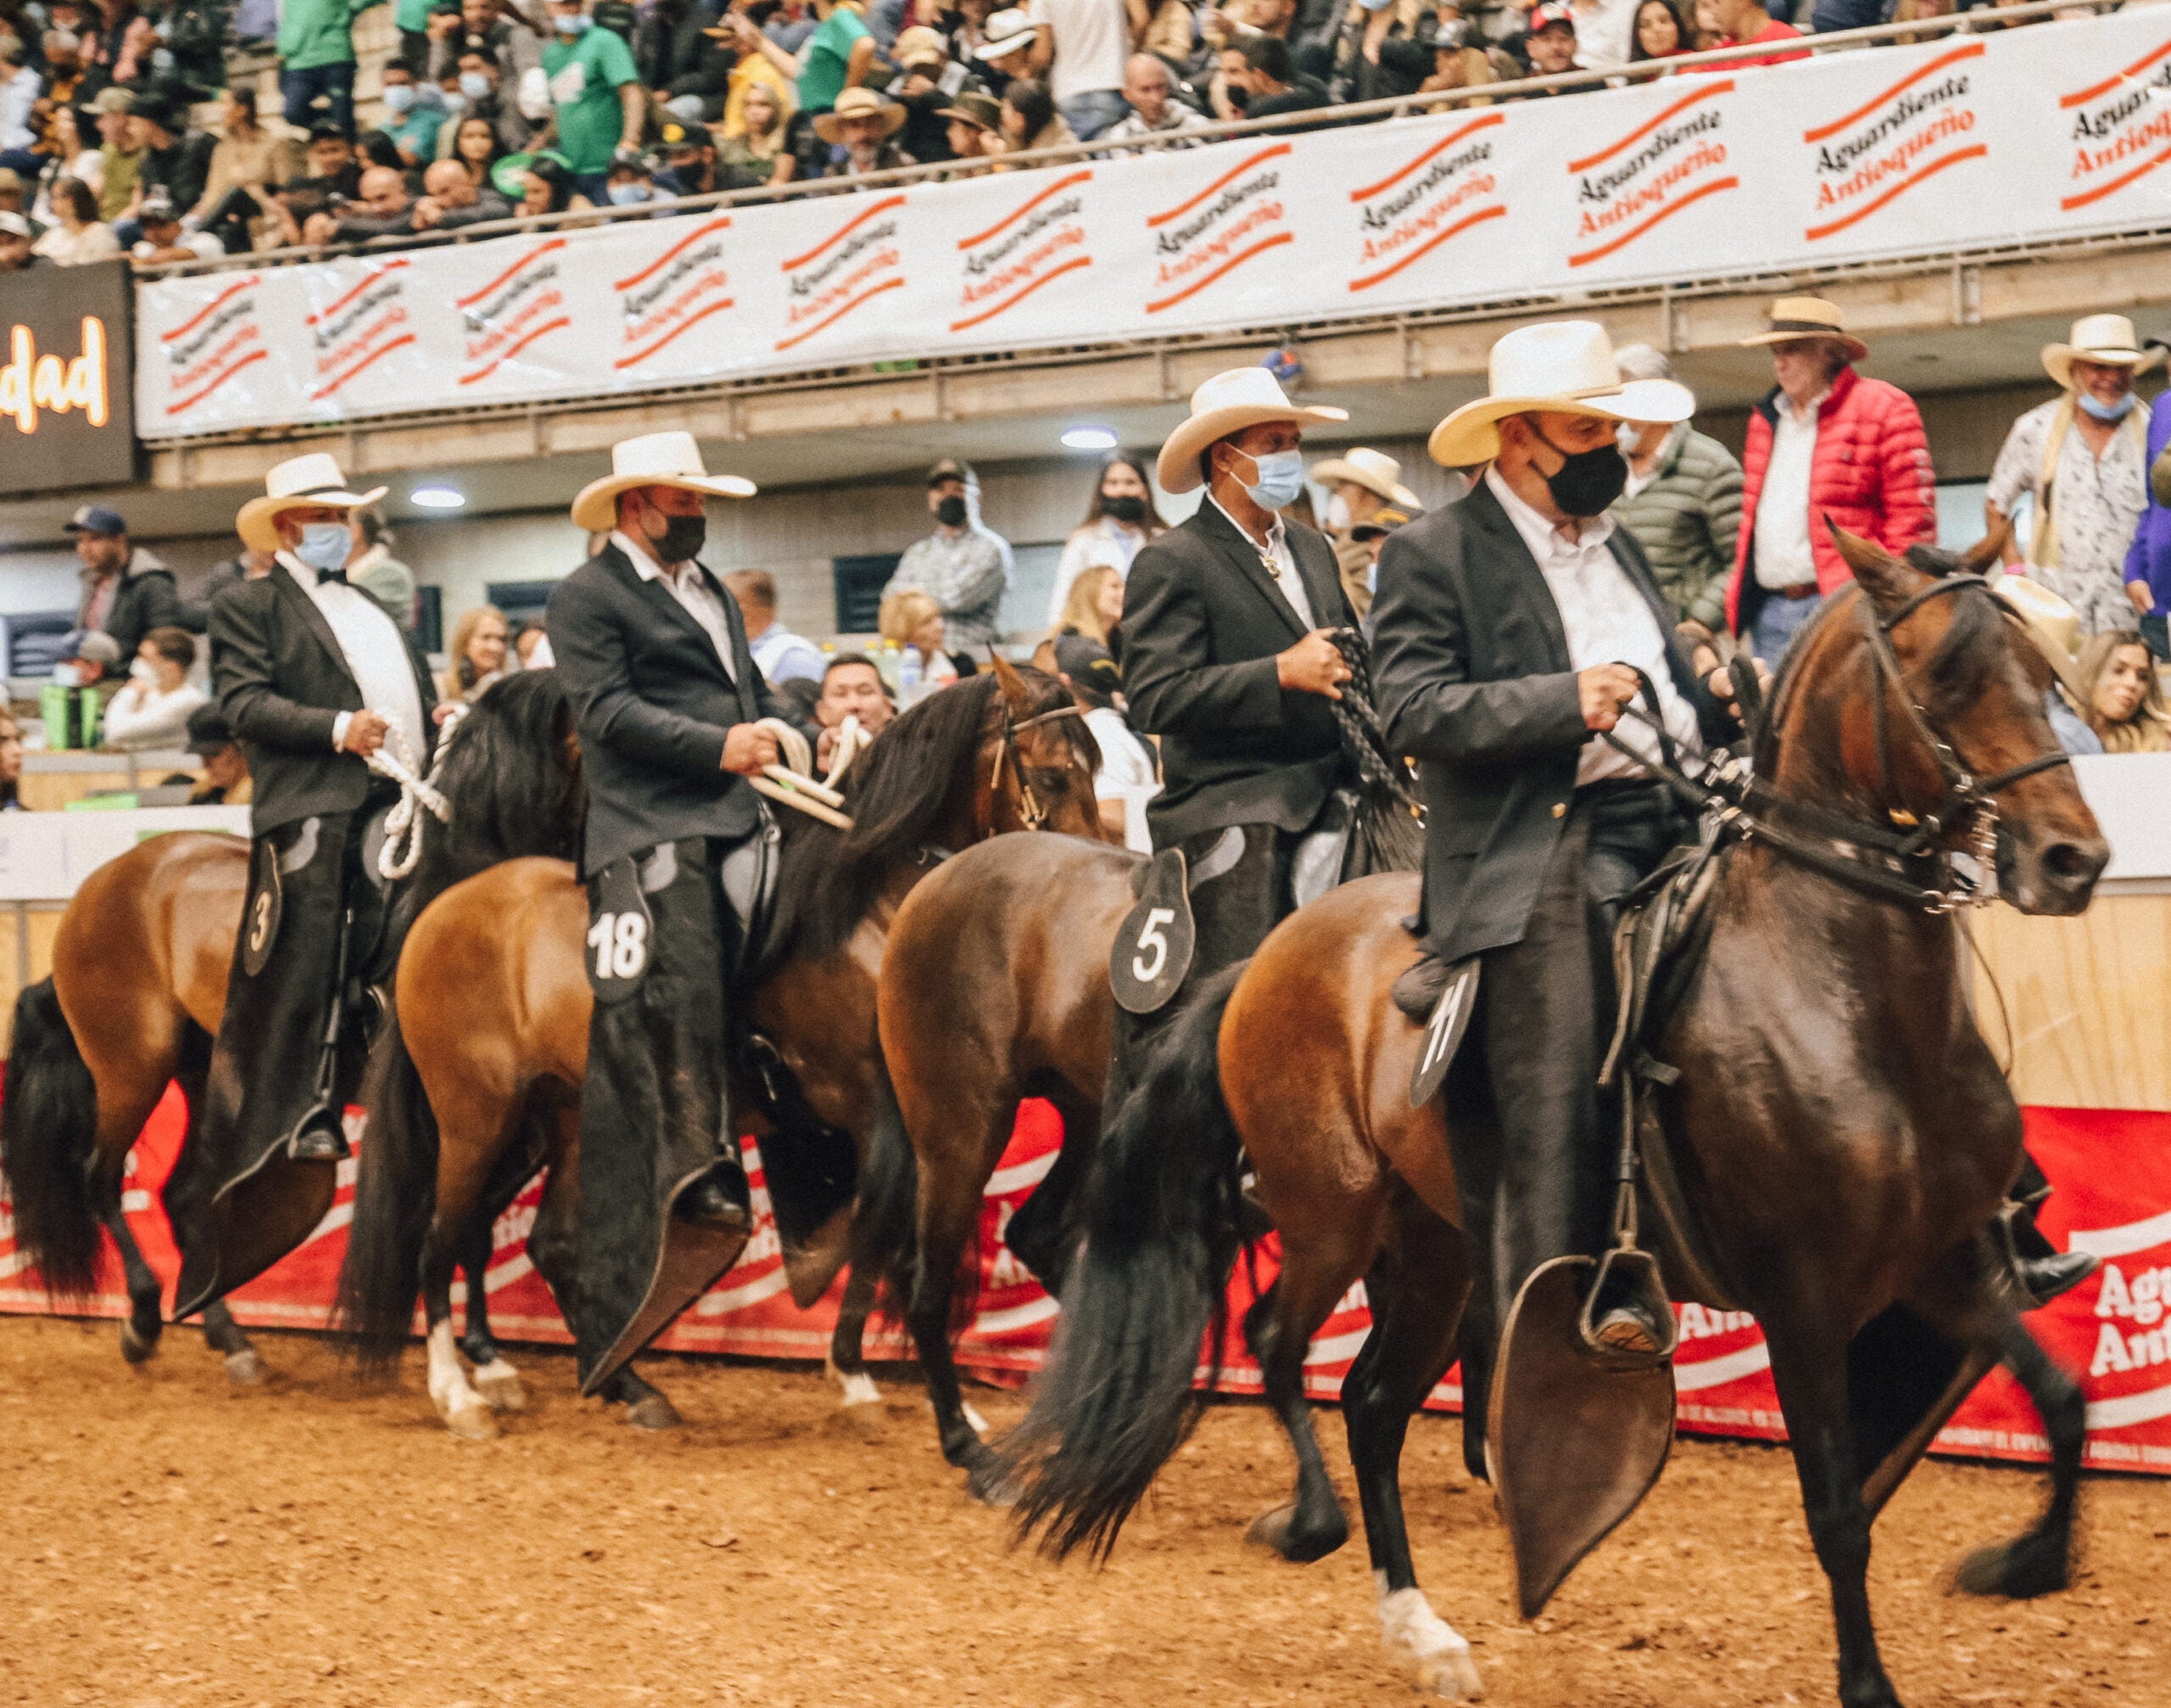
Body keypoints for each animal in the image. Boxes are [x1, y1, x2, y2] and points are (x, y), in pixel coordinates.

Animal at [0, 673, 586, 1380]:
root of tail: (102, 885)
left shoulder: (518, 1108)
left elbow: (477, 1221)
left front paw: (487, 1349)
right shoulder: (461, 1106)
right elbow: (461, 1217)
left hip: (207, 1072)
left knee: (185, 1195)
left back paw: (230, 1338)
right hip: (131, 1069)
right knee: (102, 1179)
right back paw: (142, 1319)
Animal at [332, 659, 1102, 1432]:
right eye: (1054, 775)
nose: (1091, 872)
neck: (877, 911)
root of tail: (443, 911)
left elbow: (885, 1228)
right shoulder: (873, 1104)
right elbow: (879, 1228)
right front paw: (855, 1370)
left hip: (563, 1118)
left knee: (541, 1243)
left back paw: (619, 1383)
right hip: (475, 1119)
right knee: (439, 1237)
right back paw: (459, 1392)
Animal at [994, 527, 2101, 1701]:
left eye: (2042, 675)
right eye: (1945, 677)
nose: (2071, 859)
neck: (1839, 995)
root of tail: (1262, 959)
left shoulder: (1942, 1260)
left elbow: (2061, 1398)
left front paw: (2019, 1563)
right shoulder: (1801, 1296)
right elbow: (1839, 1510)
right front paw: (1870, 1681)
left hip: (1436, 1246)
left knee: (1372, 1403)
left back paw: (1422, 1632)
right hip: (1329, 1214)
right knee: (1281, 1346)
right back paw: (1314, 1526)